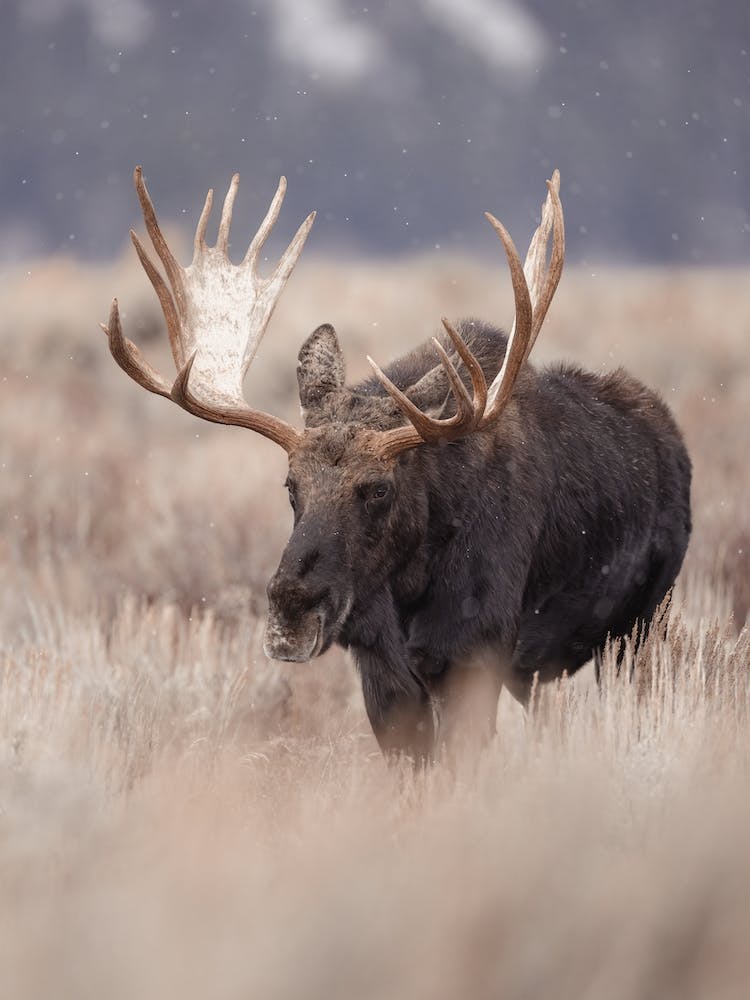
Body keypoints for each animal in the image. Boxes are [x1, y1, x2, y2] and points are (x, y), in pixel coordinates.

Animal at [102, 166, 691, 764]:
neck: (411, 583)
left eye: (378, 489)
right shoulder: (382, 669)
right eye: (290, 486)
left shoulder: (477, 652)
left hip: (640, 626)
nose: (292, 609)